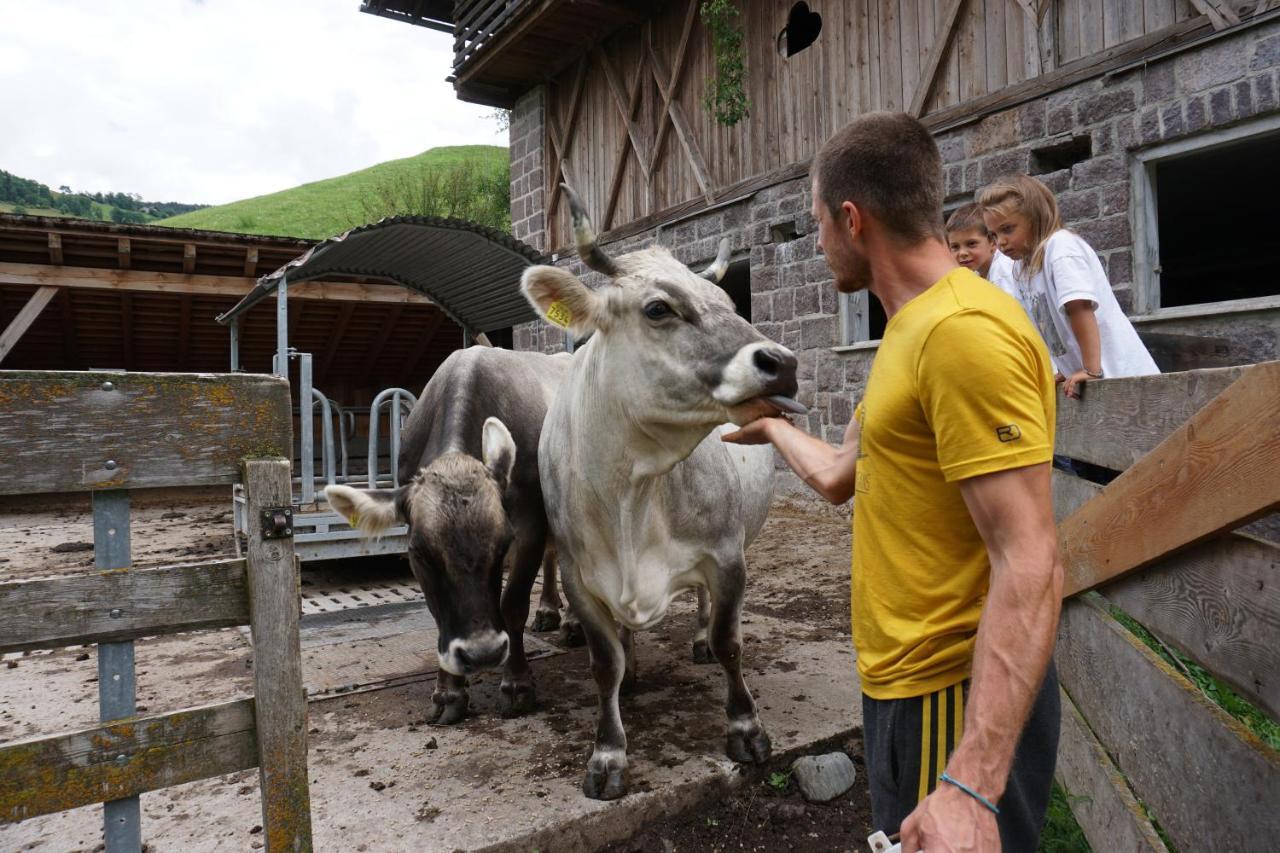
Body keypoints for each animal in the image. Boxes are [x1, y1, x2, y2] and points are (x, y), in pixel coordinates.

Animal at [519, 185, 798, 799]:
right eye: (658, 309)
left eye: (731, 303)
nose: (783, 363)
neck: (633, 491)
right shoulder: (579, 576)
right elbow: (604, 664)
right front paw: (608, 754)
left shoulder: (727, 556)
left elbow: (730, 641)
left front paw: (747, 729)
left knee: (705, 614)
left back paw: (695, 641)